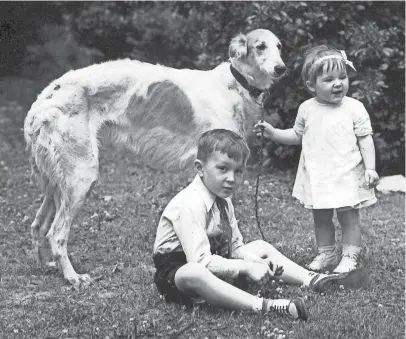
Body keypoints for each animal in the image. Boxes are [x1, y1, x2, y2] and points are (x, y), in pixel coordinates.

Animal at [23, 29, 288, 290]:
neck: (233, 85)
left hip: (57, 183)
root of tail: (44, 98)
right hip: (80, 177)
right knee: (56, 233)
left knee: (38, 226)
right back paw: (72, 277)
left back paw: (47, 266)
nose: (281, 69)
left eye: (279, 46)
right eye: (260, 46)